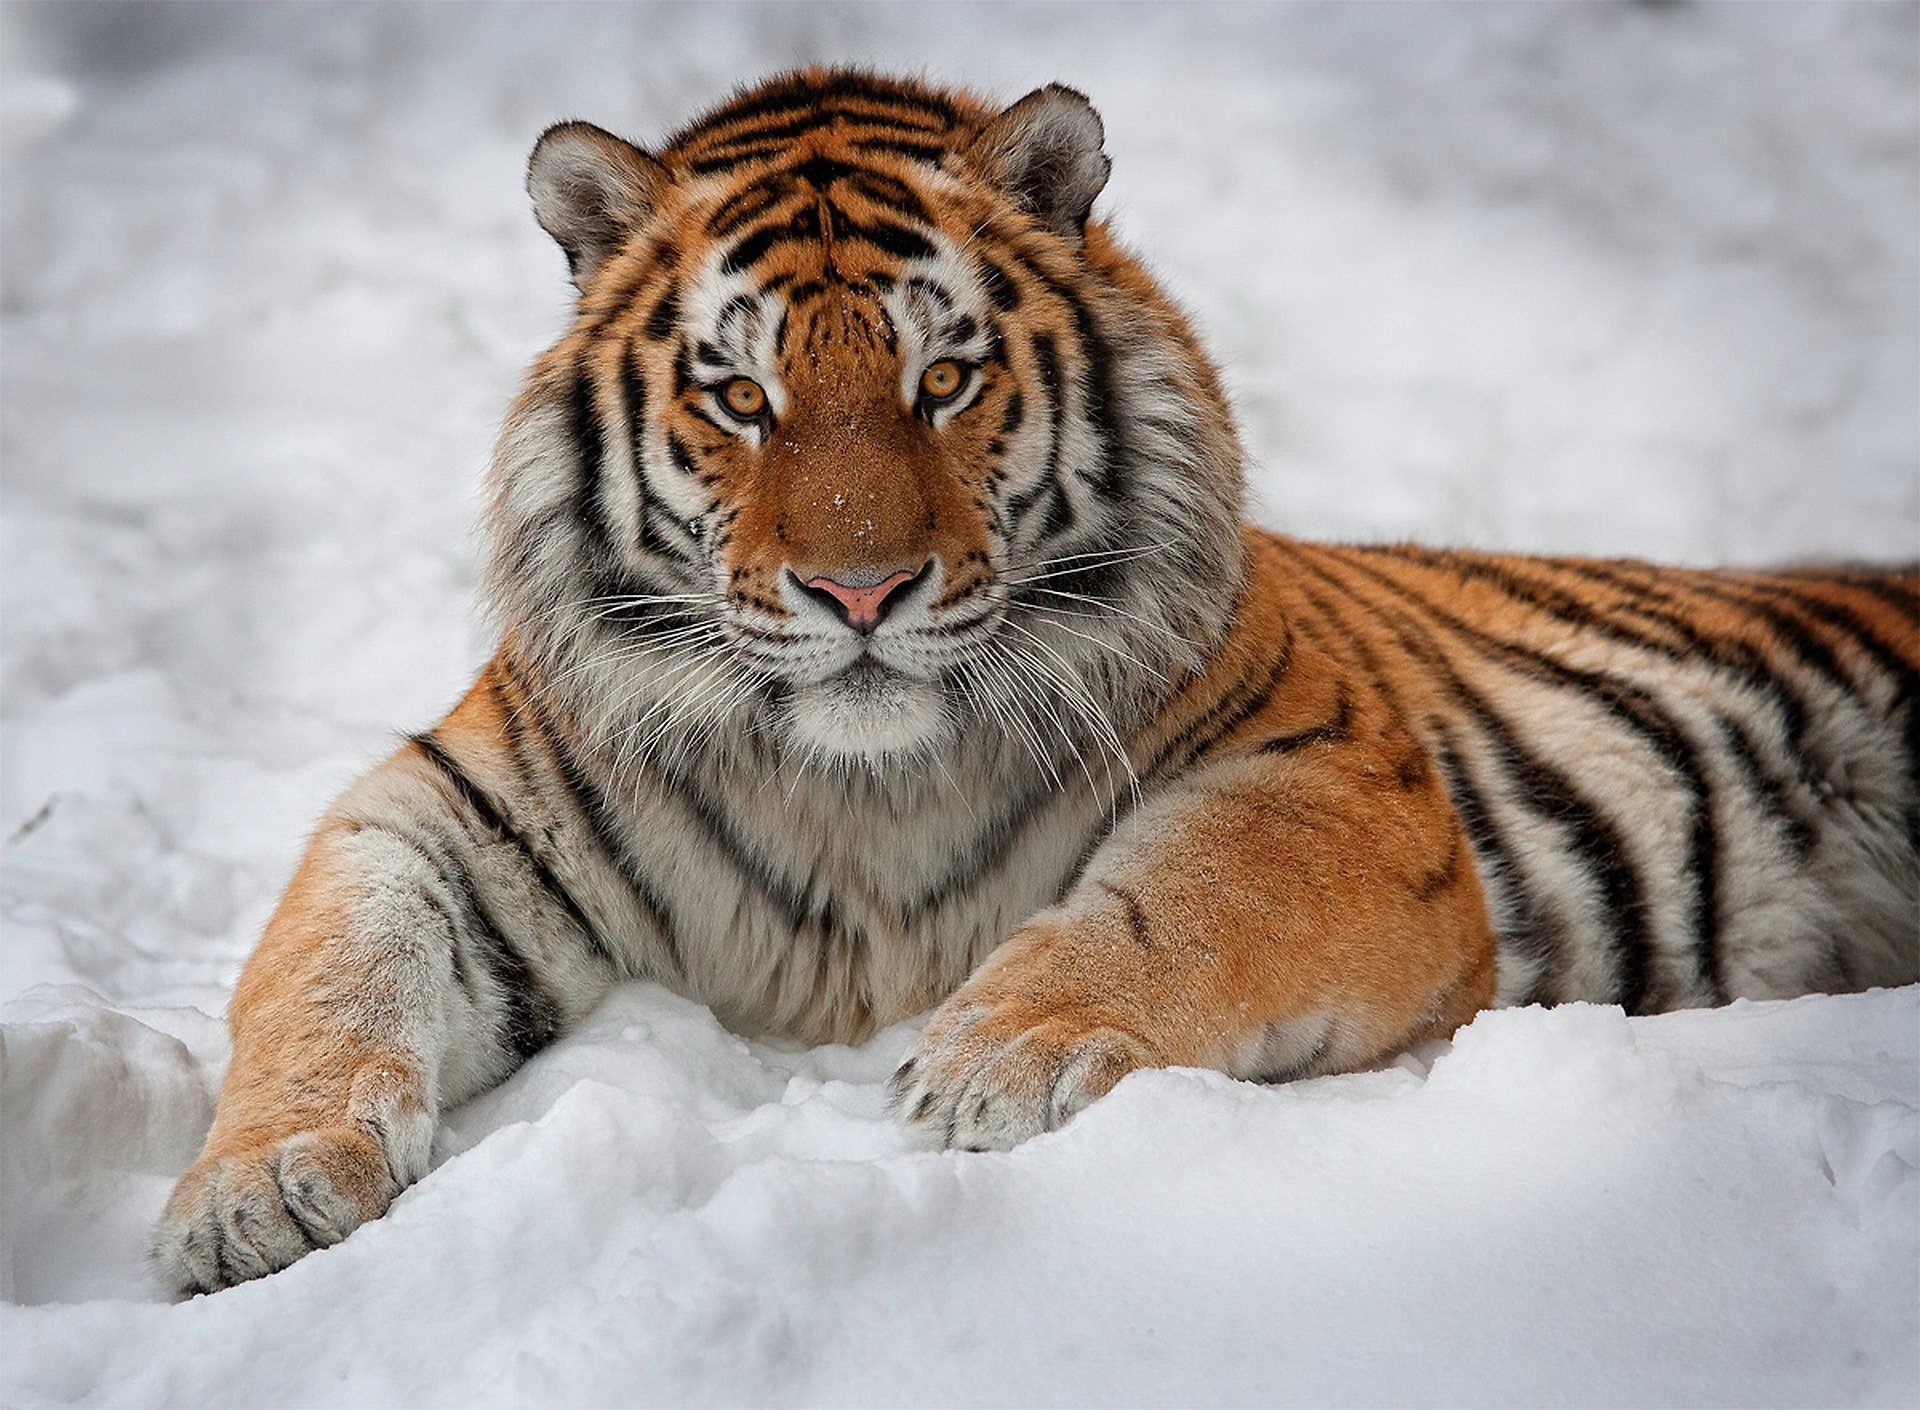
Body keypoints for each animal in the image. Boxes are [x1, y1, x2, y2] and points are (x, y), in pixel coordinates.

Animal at [151, 68, 1920, 1295]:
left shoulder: (1331, 777)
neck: (857, 783)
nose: (860, 588)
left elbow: (1179, 902)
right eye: (739, 394)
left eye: (945, 378)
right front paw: (254, 1190)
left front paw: (997, 1057)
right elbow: (326, 975)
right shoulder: (439, 813)